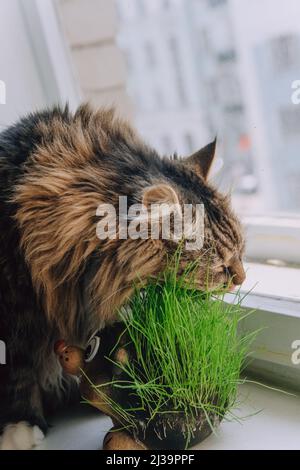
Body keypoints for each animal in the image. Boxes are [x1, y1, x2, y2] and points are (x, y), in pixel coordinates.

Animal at [0, 104, 245, 450]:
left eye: (241, 251)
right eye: (221, 266)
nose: (243, 277)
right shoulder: (16, 313)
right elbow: (19, 372)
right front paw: (23, 423)